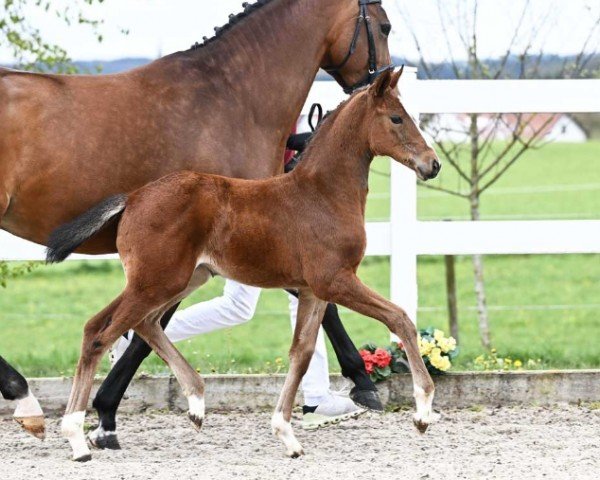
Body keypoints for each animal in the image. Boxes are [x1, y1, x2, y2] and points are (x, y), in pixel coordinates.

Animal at [48, 68, 440, 462]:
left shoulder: (313, 291)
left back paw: (194, 403)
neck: (324, 194)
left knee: (118, 325)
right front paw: (422, 413)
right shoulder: (335, 281)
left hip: (177, 279)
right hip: (157, 282)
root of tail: (132, 198)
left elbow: (301, 353)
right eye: (396, 118)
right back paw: (78, 438)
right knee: (104, 335)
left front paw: (286, 435)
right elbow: (400, 319)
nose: (432, 165)